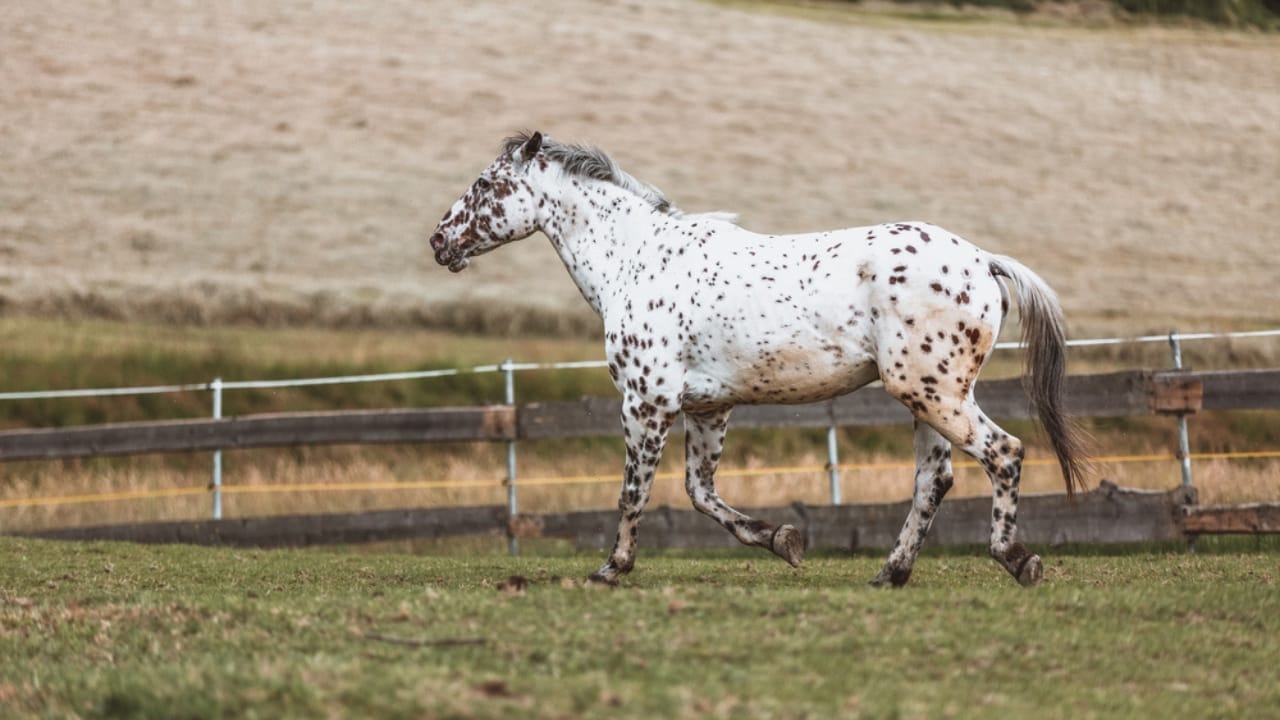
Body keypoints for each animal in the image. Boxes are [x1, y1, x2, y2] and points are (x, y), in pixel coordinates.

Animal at [429, 131, 1089, 587]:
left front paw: (611, 568)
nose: (439, 241)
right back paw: (889, 574)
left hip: (933, 392)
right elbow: (700, 493)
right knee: (936, 479)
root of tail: (983, 261)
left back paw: (1016, 560)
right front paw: (784, 540)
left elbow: (634, 491)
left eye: (486, 185)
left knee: (1003, 452)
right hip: (926, 398)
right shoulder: (707, 409)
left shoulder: (646, 403)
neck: (636, 260)